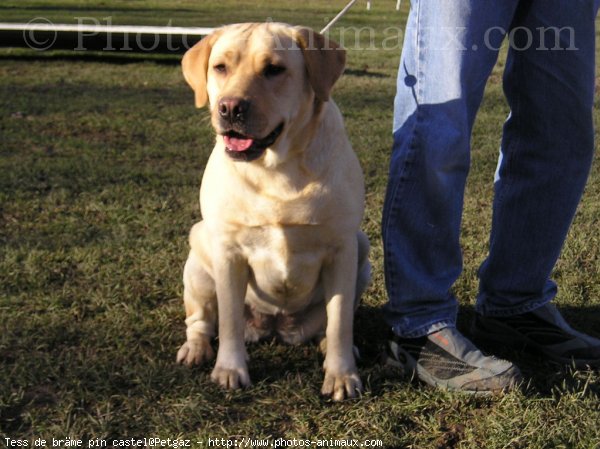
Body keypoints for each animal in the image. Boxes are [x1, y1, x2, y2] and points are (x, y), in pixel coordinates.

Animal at [175, 21, 370, 400]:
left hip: (363, 252)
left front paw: (341, 375)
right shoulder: (229, 252)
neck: (277, 169)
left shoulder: (342, 249)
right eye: (220, 67)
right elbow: (230, 320)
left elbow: (340, 321)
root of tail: (278, 326)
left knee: (330, 325)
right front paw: (230, 369)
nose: (230, 108)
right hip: (199, 259)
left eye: (274, 70)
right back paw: (196, 348)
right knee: (201, 320)